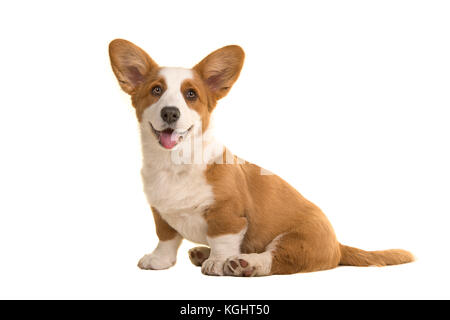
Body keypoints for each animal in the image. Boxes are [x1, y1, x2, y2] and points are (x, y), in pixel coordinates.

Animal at [107, 39, 414, 276]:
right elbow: (166, 238)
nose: (170, 113)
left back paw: (245, 264)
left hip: (297, 240)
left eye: (191, 94)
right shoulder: (160, 213)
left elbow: (222, 239)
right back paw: (201, 253)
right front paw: (159, 261)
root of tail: (337, 245)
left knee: (279, 259)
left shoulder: (228, 215)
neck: (175, 164)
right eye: (156, 90)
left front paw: (218, 262)